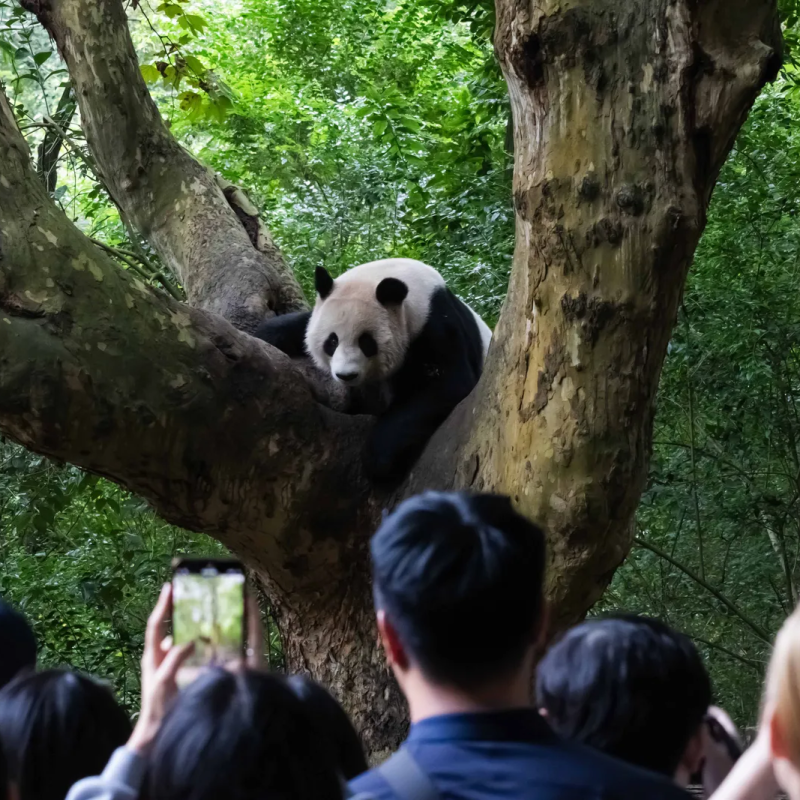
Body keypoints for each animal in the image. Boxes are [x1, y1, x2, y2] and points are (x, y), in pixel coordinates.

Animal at [254, 258, 492, 483]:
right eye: (332, 341)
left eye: (366, 343)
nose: (346, 375)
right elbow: (296, 325)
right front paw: (267, 334)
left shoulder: (435, 321)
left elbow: (448, 382)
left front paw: (381, 460)